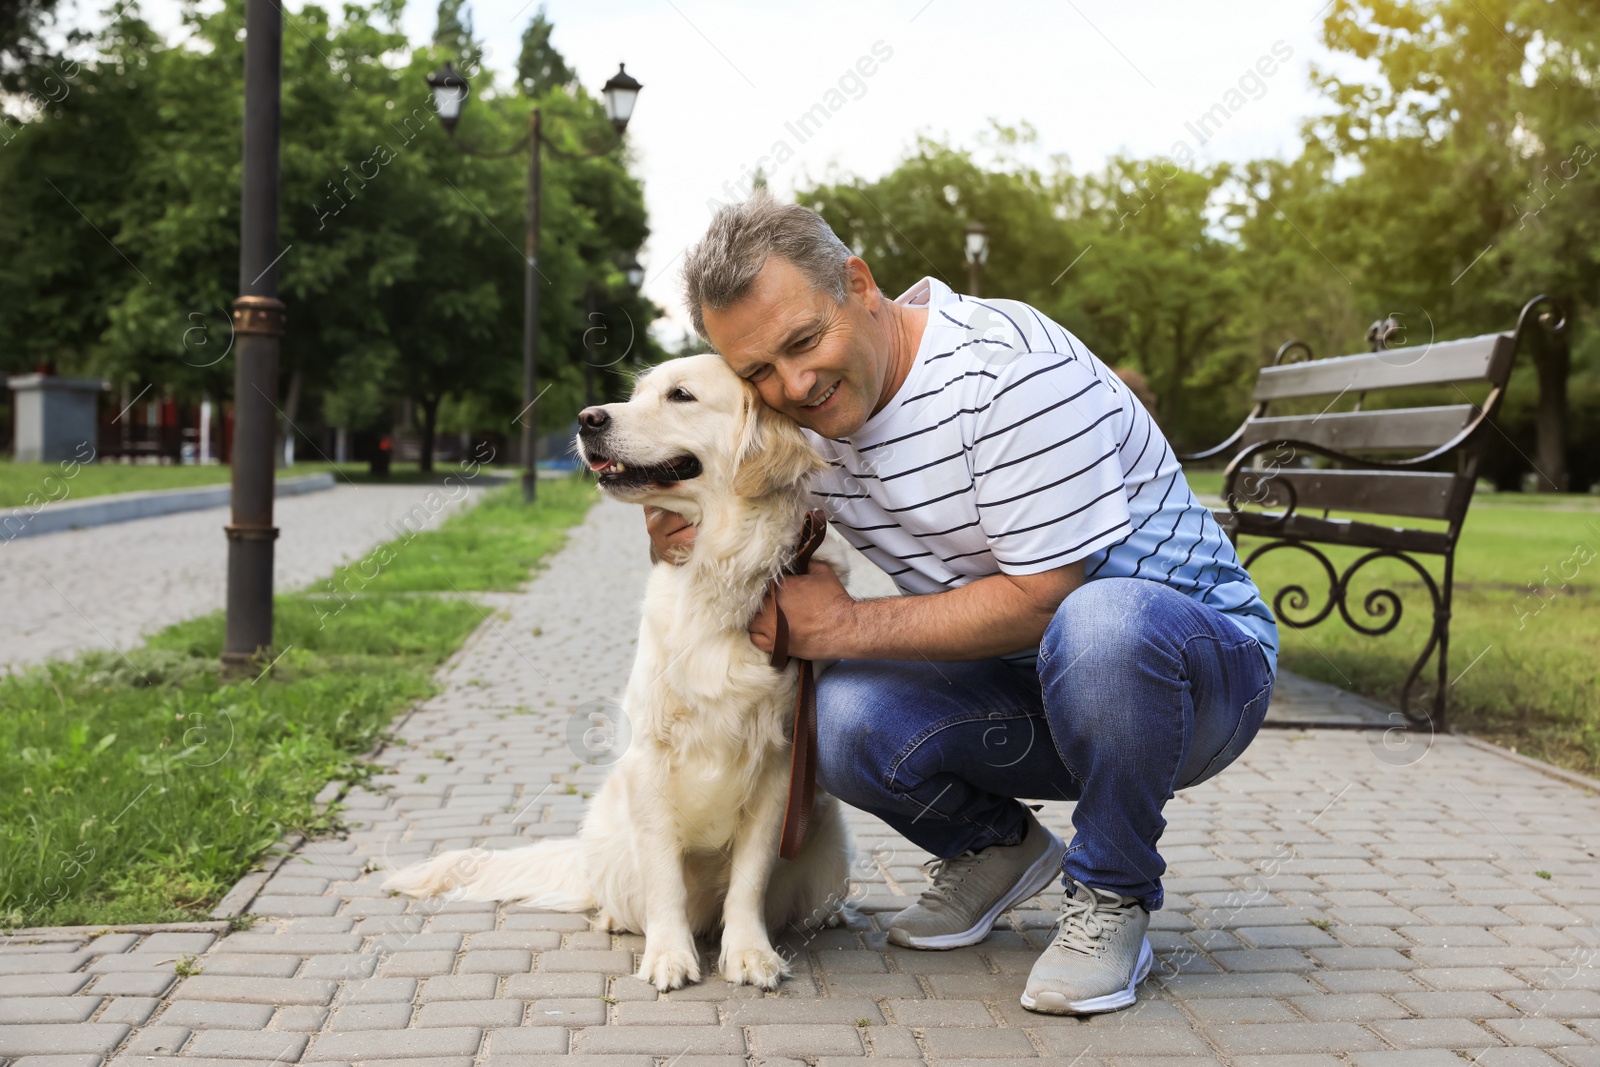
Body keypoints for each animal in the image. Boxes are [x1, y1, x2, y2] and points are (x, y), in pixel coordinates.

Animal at [385, 355, 857, 991]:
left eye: (680, 396)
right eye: (636, 394)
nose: (587, 418)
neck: (722, 567)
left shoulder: (780, 764)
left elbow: (750, 878)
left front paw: (750, 954)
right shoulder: (652, 755)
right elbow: (662, 873)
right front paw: (669, 956)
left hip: (829, 841)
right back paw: (617, 918)